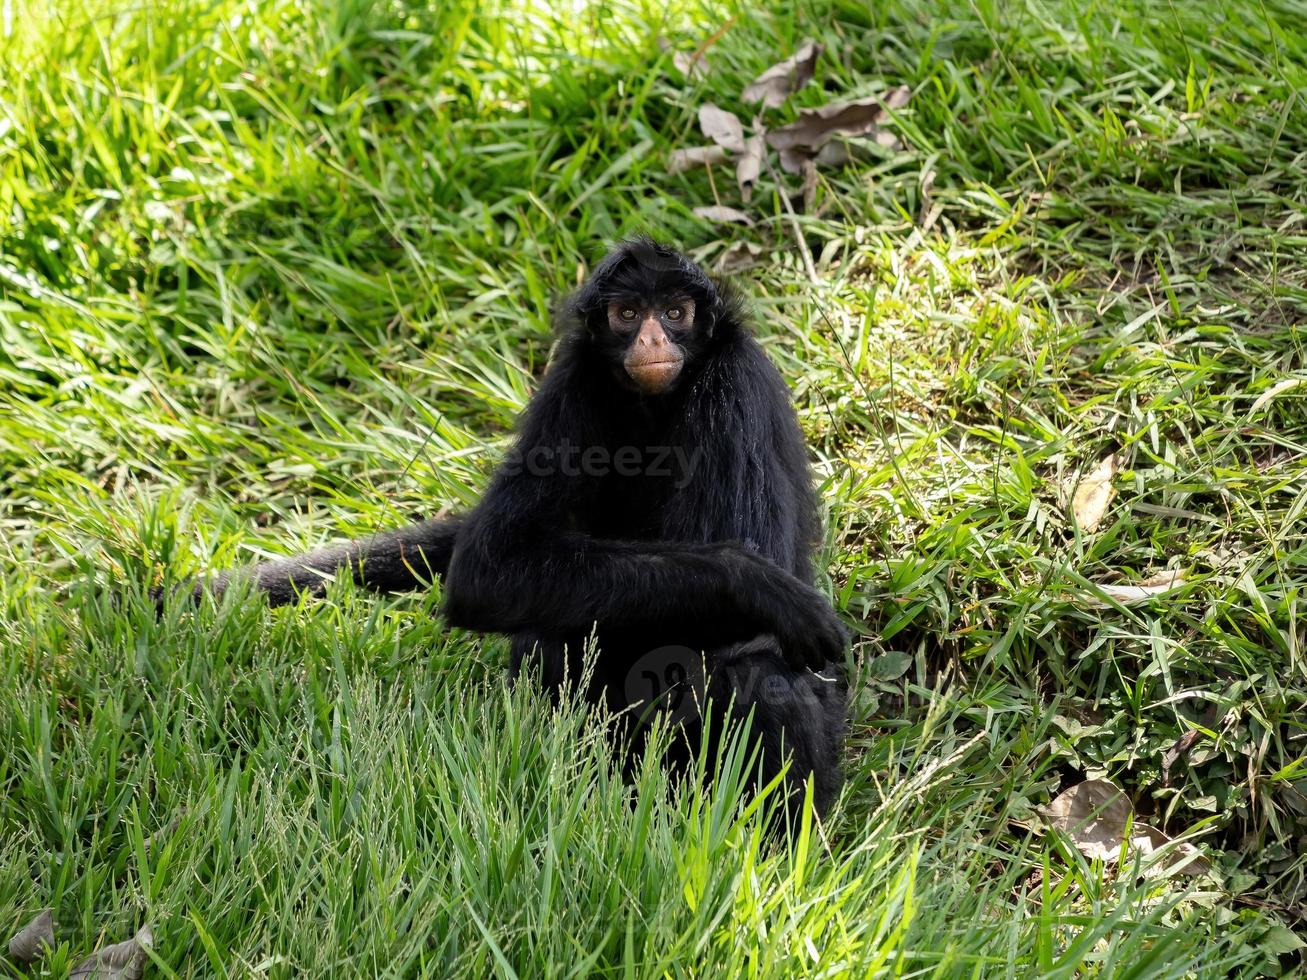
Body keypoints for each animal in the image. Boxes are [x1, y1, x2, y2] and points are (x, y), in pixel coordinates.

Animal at [190, 237, 846, 820]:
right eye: (628, 314)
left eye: (674, 313)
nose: (653, 337)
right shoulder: (574, 381)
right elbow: (492, 567)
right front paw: (749, 580)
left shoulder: (733, 382)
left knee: (760, 677)